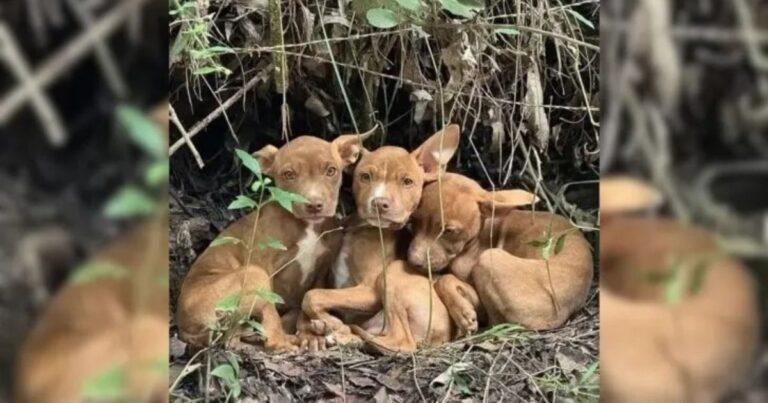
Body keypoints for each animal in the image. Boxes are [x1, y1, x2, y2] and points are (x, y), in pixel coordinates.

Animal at [178, 133, 370, 354]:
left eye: (331, 171)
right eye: (289, 174)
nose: (314, 205)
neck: (308, 226)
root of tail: (183, 330)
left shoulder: (322, 270)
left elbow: (308, 302)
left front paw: (311, 334)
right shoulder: (264, 265)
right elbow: (273, 311)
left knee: (236, 335)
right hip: (253, 275)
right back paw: (283, 341)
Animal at [300, 125, 456, 350]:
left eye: (407, 182)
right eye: (365, 177)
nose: (380, 203)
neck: (362, 229)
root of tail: (445, 335)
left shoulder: (369, 292)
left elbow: (312, 295)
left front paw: (333, 323)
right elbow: (311, 297)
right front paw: (319, 328)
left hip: (392, 274)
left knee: (402, 342)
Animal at [408, 174, 592, 334]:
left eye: (449, 231)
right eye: (414, 221)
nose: (412, 261)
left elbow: (444, 280)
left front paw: (463, 313)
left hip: (489, 260)